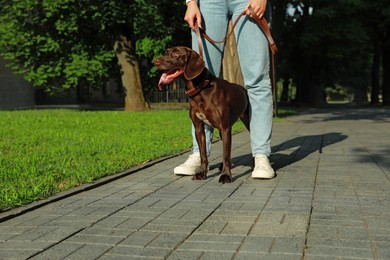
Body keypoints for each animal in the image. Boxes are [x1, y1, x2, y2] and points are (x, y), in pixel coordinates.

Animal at [154, 45, 248, 183]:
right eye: (166, 52)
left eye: (176, 54)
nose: (155, 61)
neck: (201, 90)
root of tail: (243, 89)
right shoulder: (199, 128)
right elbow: (203, 154)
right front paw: (202, 173)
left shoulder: (225, 128)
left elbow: (226, 154)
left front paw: (226, 175)